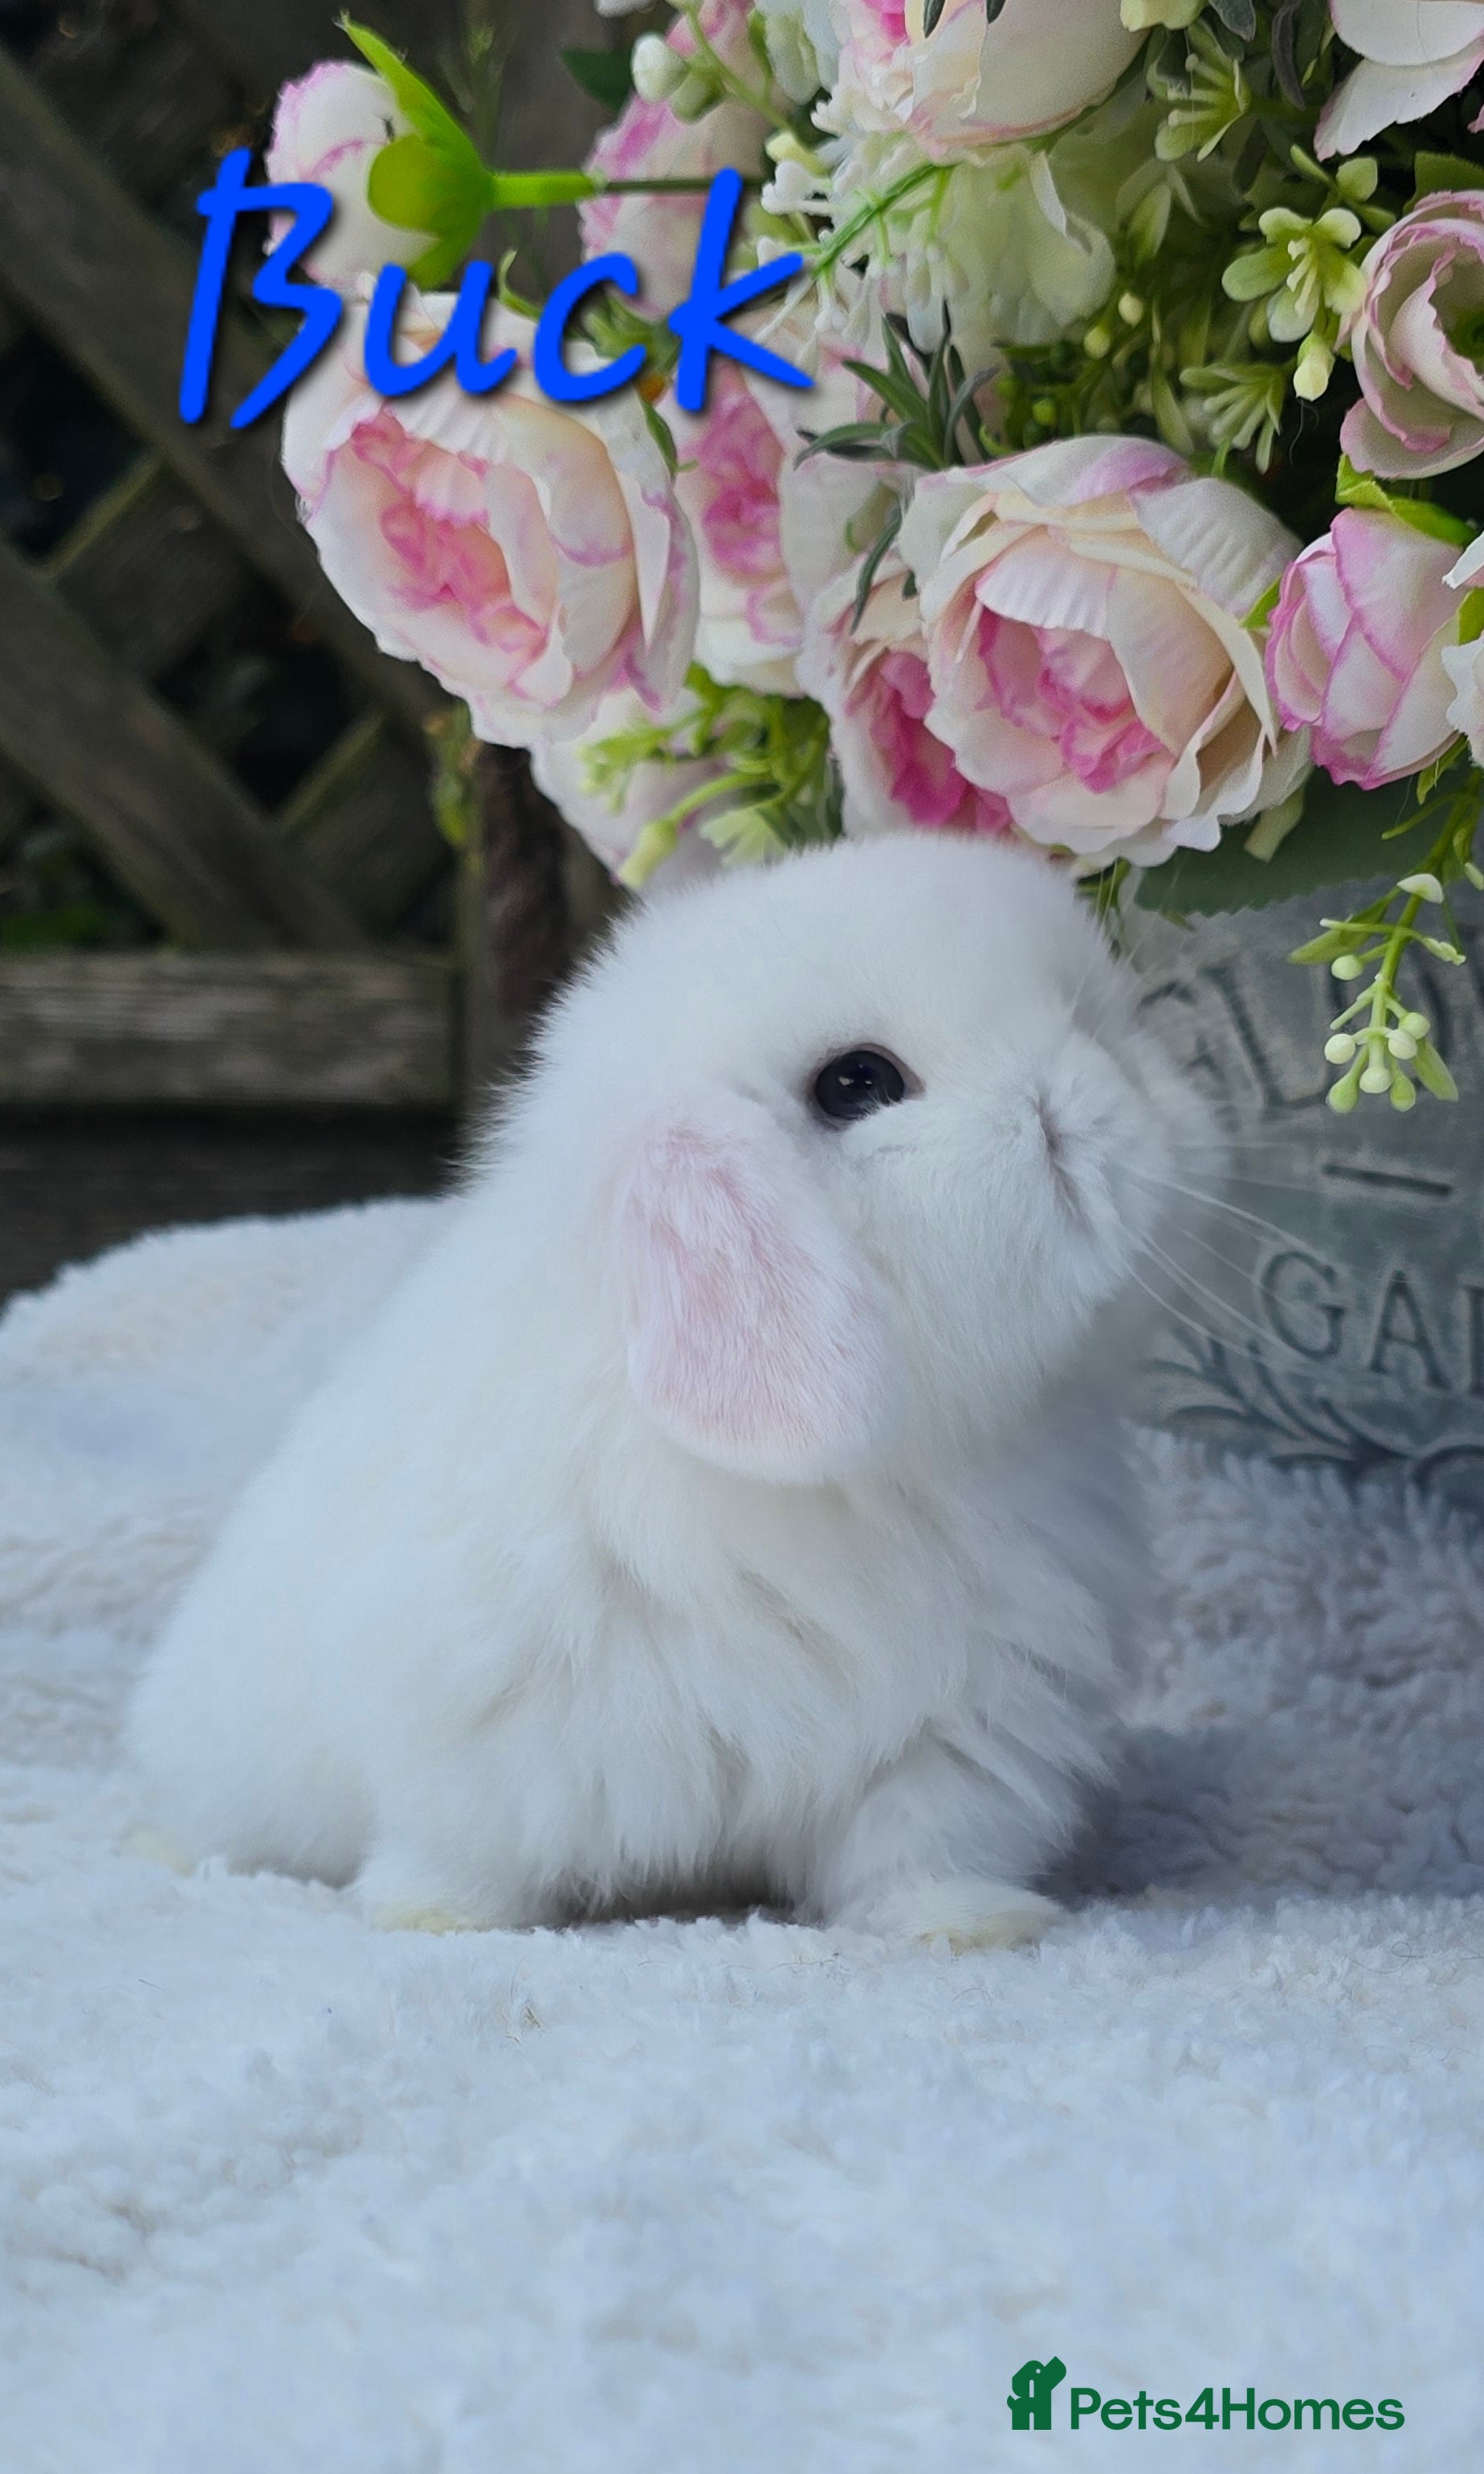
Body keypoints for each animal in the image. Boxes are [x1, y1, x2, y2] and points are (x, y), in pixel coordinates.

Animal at [126, 831, 1214, 1950]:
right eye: (858, 1082)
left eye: (1098, 1018)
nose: (1104, 1092)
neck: (858, 1485)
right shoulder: (478, 1736)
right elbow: (462, 1852)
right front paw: (438, 1920)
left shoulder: (958, 1734)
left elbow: (917, 1856)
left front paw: (972, 1926)